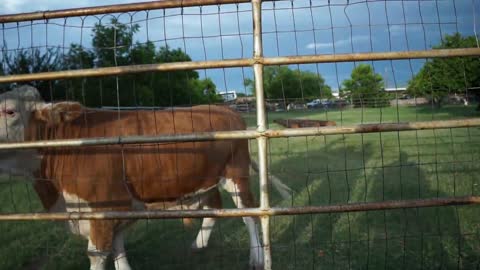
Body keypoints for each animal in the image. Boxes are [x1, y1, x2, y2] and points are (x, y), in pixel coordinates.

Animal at [0, 86, 290, 270]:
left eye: (9, 111)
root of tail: (226, 109)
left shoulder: (103, 212)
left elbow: (98, 255)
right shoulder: (115, 210)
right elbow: (118, 251)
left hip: (236, 174)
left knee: (249, 213)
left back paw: (257, 258)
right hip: (204, 179)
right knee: (216, 207)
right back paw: (199, 243)